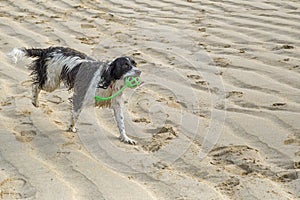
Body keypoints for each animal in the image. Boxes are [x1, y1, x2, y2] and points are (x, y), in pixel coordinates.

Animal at [7, 46, 142, 144]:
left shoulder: (116, 103)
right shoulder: (80, 97)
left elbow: (121, 122)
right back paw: (35, 101)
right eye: (125, 66)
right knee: (36, 85)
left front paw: (125, 138)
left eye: (135, 64)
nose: (139, 71)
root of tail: (48, 50)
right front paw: (71, 128)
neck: (108, 79)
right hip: (51, 82)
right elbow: (75, 115)